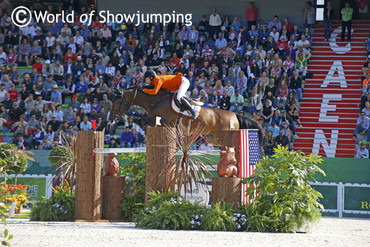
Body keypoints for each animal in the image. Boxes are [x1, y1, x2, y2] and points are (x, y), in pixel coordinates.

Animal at [105, 86, 264, 150]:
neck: (156, 100)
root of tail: (234, 115)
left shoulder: (165, 121)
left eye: (117, 102)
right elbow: (145, 120)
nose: (110, 121)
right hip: (214, 138)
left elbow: (147, 119)